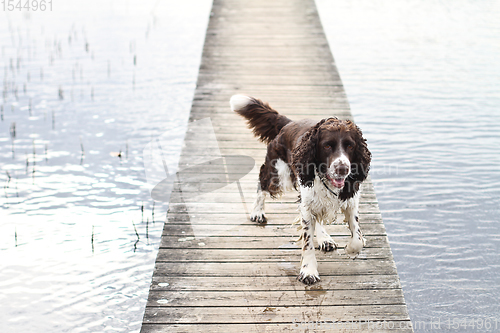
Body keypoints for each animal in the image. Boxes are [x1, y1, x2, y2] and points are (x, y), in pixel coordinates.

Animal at [231, 94, 372, 284]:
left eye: (350, 146)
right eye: (327, 145)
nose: (343, 169)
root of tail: (288, 123)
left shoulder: (350, 200)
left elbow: (357, 236)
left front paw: (350, 249)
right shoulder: (306, 203)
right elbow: (308, 242)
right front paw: (309, 271)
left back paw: (324, 238)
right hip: (280, 174)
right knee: (262, 183)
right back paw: (257, 212)